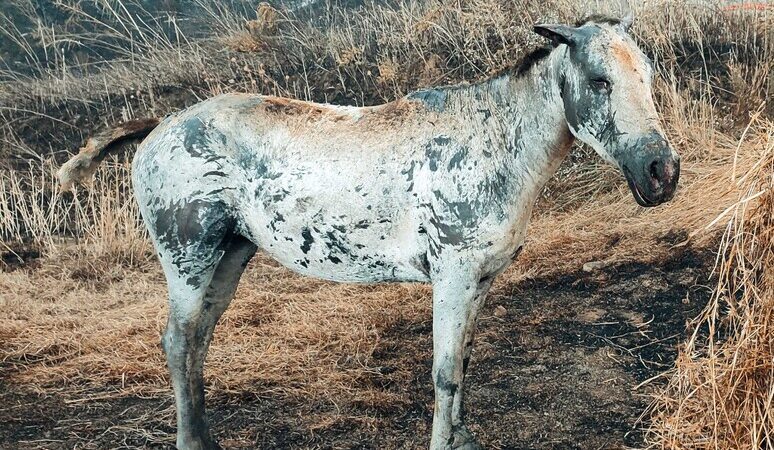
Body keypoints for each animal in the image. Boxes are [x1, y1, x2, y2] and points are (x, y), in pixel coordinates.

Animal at [59, 4, 680, 450]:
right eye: (598, 81)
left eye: (646, 73)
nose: (662, 172)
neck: (494, 143)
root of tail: (159, 127)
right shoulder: (452, 279)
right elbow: (444, 373)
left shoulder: (478, 282)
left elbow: (463, 364)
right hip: (189, 258)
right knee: (179, 341)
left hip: (229, 258)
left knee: (198, 344)